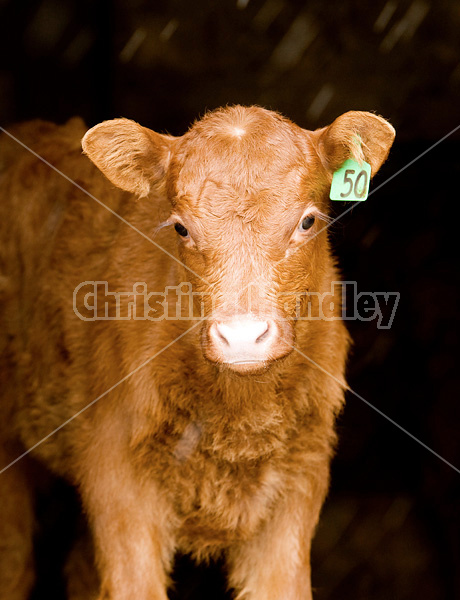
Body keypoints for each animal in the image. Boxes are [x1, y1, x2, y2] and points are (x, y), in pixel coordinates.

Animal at [0, 108, 396, 600]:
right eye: (181, 227)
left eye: (307, 222)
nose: (242, 336)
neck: (240, 422)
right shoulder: (116, 477)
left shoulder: (301, 477)